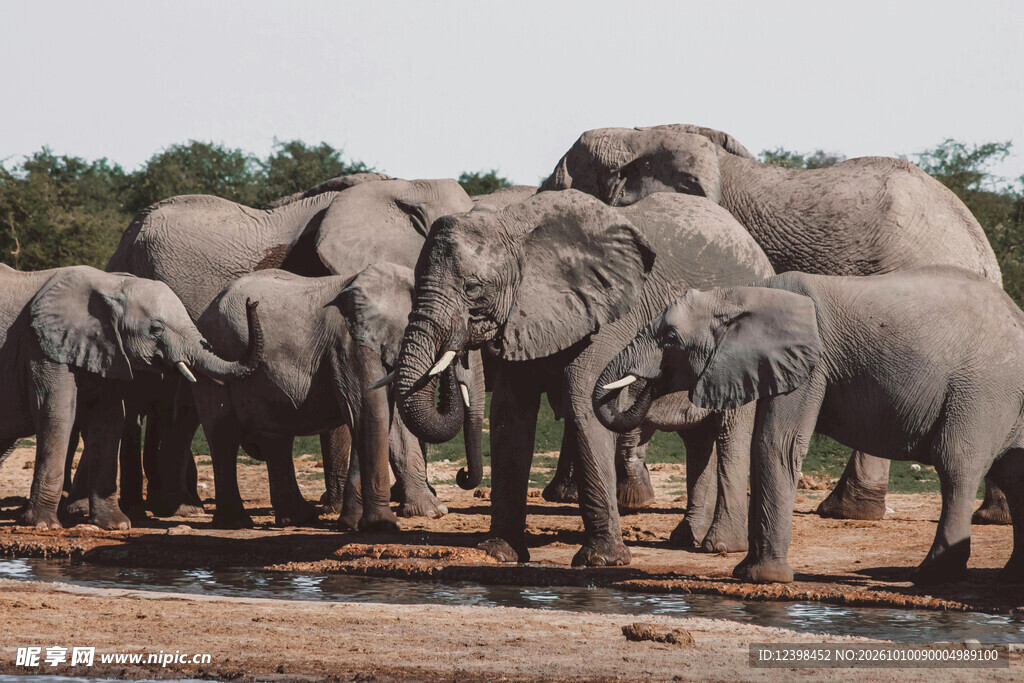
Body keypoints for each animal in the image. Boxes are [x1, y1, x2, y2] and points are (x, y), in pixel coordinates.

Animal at [0, 264, 261, 530]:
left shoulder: (111, 351)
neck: (111, 285)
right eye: (156, 329)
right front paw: (43, 524)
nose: (252, 302)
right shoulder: (42, 347)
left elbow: (109, 421)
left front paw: (116, 525)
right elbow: (56, 415)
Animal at [191, 264, 462, 529]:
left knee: (275, 437)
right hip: (216, 357)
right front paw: (383, 525)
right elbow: (370, 412)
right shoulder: (349, 345)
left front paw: (430, 513)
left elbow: (387, 420)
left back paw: (299, 518)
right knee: (223, 434)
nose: (456, 348)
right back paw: (235, 522)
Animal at [394, 189, 774, 565]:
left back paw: (720, 545)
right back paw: (687, 539)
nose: (462, 476)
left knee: (729, 430)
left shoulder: (612, 316)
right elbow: (509, 414)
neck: (517, 227)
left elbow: (584, 400)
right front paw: (498, 552)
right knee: (698, 438)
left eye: (472, 288)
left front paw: (601, 560)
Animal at [595, 267, 1024, 585]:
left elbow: (775, 443)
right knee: (1011, 471)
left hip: (983, 390)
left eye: (669, 338)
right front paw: (748, 572)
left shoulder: (810, 364)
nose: (646, 383)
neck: (741, 294)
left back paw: (931, 576)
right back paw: (1007, 578)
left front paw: (761, 578)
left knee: (957, 464)